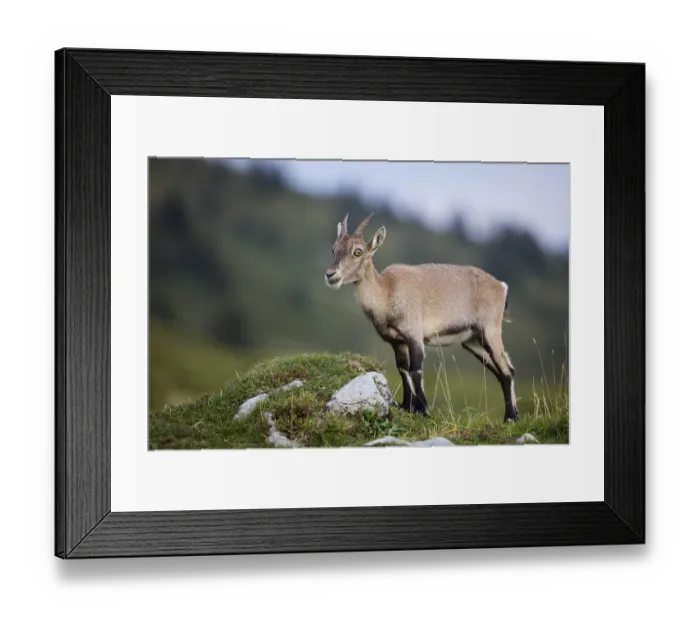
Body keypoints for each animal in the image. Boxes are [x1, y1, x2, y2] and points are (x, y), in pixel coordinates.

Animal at [325, 213, 518, 421]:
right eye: (334, 249)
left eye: (358, 252)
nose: (331, 275)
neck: (388, 293)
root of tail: (501, 287)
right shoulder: (397, 341)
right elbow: (402, 368)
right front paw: (406, 406)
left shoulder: (414, 335)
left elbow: (415, 369)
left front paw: (423, 410)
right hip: (473, 341)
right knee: (501, 371)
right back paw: (512, 415)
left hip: (490, 331)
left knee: (507, 370)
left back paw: (511, 417)